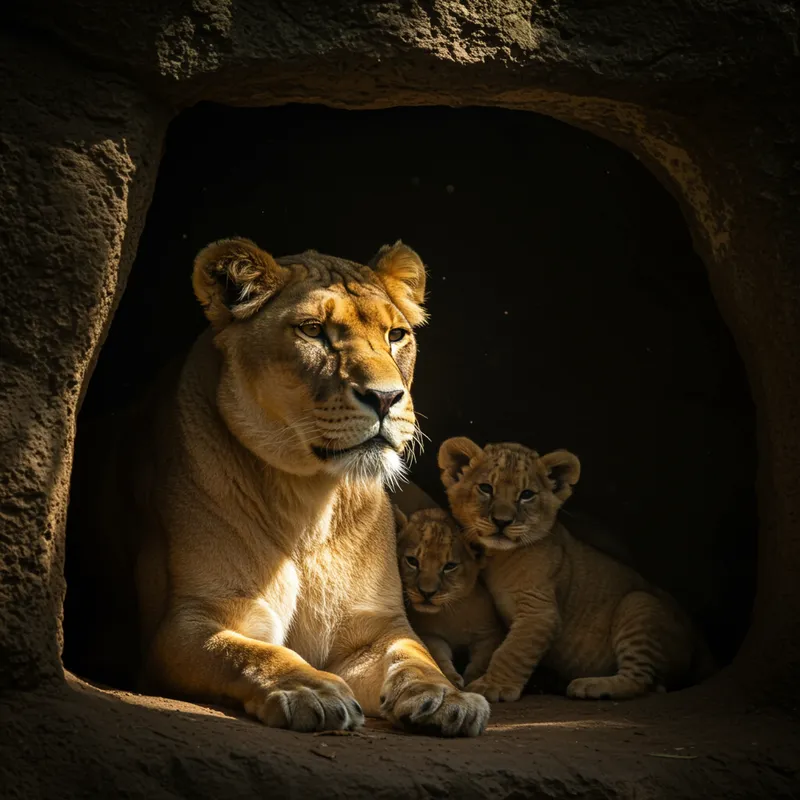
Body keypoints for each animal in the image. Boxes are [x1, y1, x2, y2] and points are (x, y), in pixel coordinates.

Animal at [67, 237, 490, 736]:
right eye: (312, 331)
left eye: (396, 335)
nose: (386, 398)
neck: (309, 500)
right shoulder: (184, 623)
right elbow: (251, 653)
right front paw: (311, 689)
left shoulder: (375, 629)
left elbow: (415, 658)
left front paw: (447, 696)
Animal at [394, 507, 506, 688]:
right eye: (412, 561)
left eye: (450, 566)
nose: (427, 593)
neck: (451, 614)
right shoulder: (430, 635)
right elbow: (439, 657)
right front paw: (452, 679)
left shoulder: (490, 634)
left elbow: (481, 661)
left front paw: (472, 681)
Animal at [437, 437, 715, 702]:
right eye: (486, 488)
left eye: (527, 494)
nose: (502, 521)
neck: (497, 556)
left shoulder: (540, 612)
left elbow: (512, 651)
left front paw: (493, 686)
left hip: (638, 604)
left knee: (642, 681)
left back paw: (591, 686)